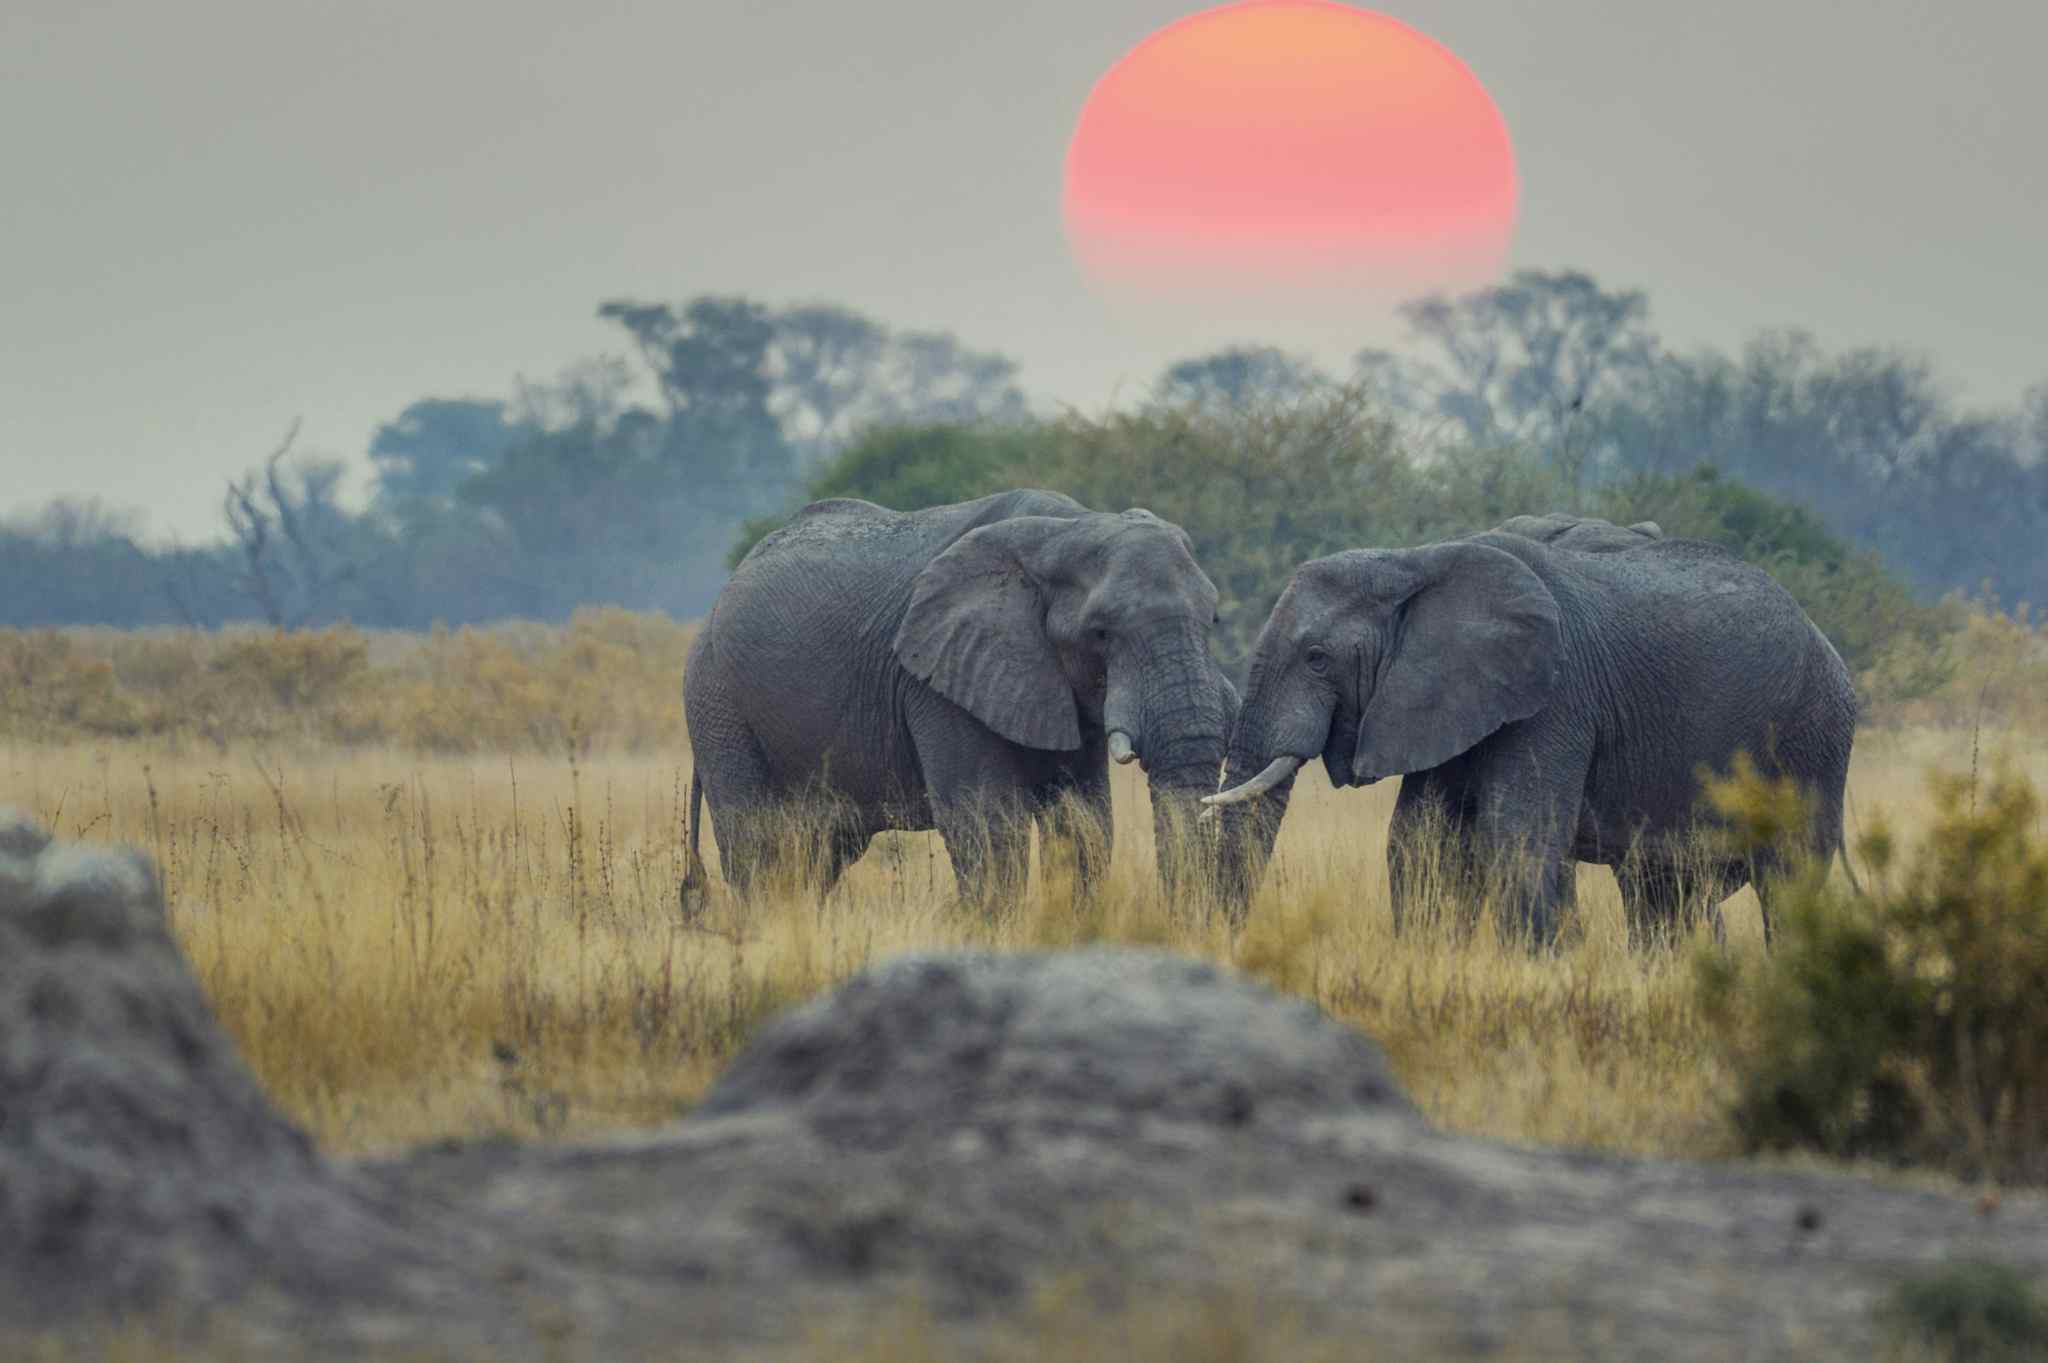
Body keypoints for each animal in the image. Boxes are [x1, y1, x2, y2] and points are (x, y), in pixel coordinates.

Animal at [684, 482, 1228, 908]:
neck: (1069, 527)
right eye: (1100, 633)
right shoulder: (938, 680)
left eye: (1213, 619)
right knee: (757, 846)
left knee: (819, 854)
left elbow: (1085, 822)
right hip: (717, 703)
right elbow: (987, 823)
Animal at [1204, 515, 1867, 949]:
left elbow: (1518, 838)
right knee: (1664, 893)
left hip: (1813, 737)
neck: (1415, 559)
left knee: (1788, 883)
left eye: (1317, 658)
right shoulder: (1446, 699)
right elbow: (1420, 841)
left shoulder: (1556, 697)